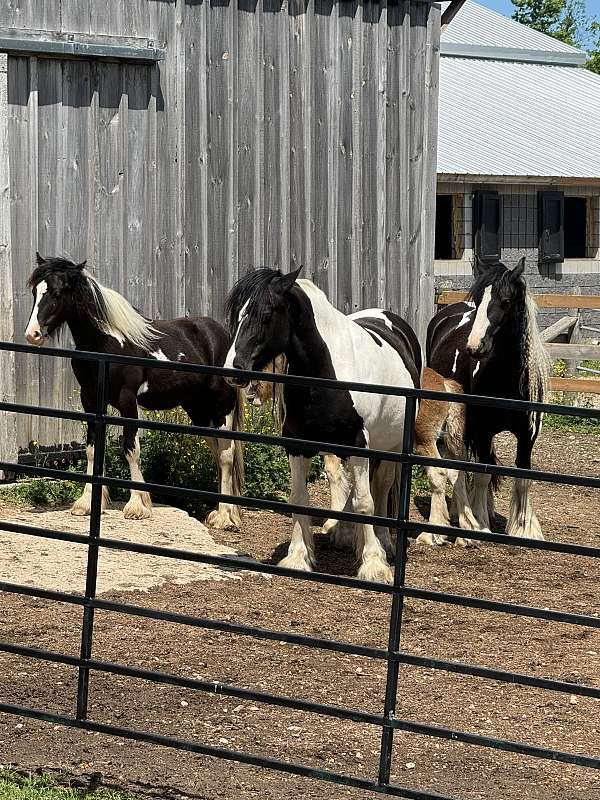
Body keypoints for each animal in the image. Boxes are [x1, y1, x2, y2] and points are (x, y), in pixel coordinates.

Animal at [25, 254, 244, 529]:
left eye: (56, 292)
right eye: (35, 291)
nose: (32, 334)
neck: (106, 344)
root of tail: (223, 337)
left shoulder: (127, 401)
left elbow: (131, 450)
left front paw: (137, 505)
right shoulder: (91, 401)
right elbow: (92, 449)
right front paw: (86, 503)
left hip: (221, 407)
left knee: (226, 455)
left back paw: (224, 517)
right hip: (198, 411)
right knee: (218, 453)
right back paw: (223, 511)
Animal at [223, 267, 421, 583]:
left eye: (266, 314)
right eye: (238, 314)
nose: (233, 369)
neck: (325, 372)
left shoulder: (359, 444)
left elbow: (365, 502)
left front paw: (374, 565)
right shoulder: (297, 445)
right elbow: (299, 498)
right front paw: (298, 558)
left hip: (390, 447)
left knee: (381, 487)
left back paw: (384, 543)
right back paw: (342, 533)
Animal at [425, 256, 549, 540]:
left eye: (506, 301)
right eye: (480, 299)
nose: (474, 347)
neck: (508, 381)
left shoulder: (528, 436)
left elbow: (522, 478)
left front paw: (523, 528)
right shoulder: (482, 430)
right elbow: (481, 474)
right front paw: (479, 522)